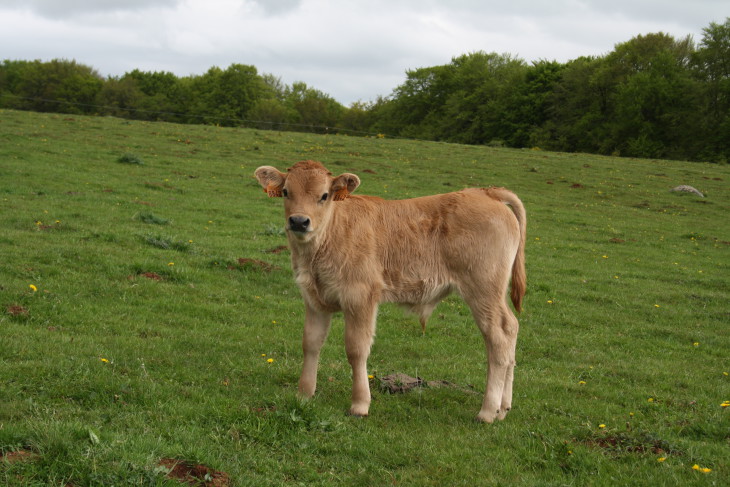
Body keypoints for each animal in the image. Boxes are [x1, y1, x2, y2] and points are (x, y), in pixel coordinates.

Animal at [255, 161, 524, 424]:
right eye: (286, 192)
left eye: (324, 195)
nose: (299, 221)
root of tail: (485, 192)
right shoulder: (314, 300)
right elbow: (310, 343)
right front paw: (303, 395)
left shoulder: (360, 297)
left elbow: (356, 349)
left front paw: (360, 404)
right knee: (511, 329)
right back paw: (503, 408)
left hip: (483, 290)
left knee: (498, 339)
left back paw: (487, 411)